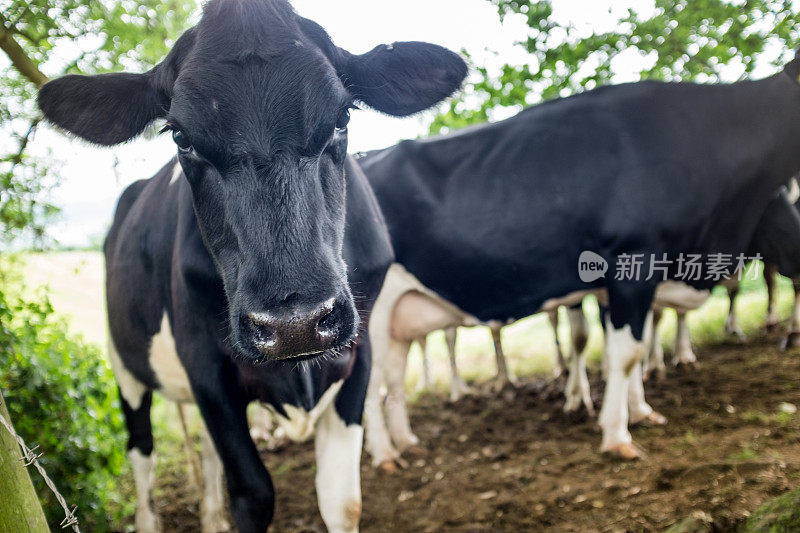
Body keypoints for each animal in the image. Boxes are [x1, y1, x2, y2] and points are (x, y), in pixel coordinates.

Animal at [34, 2, 466, 528]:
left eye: (343, 115)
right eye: (180, 137)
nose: (295, 324)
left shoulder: (358, 354)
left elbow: (342, 499)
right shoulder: (207, 369)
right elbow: (253, 492)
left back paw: (211, 516)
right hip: (125, 365)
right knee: (142, 451)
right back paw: (150, 519)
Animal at [360, 54, 800, 460]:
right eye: (783, 202)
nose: (798, 253)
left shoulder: (620, 284)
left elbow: (626, 347)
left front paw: (641, 411)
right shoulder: (633, 262)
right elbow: (626, 354)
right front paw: (618, 436)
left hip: (401, 316)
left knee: (393, 379)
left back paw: (406, 442)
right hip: (372, 312)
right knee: (370, 383)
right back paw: (384, 456)